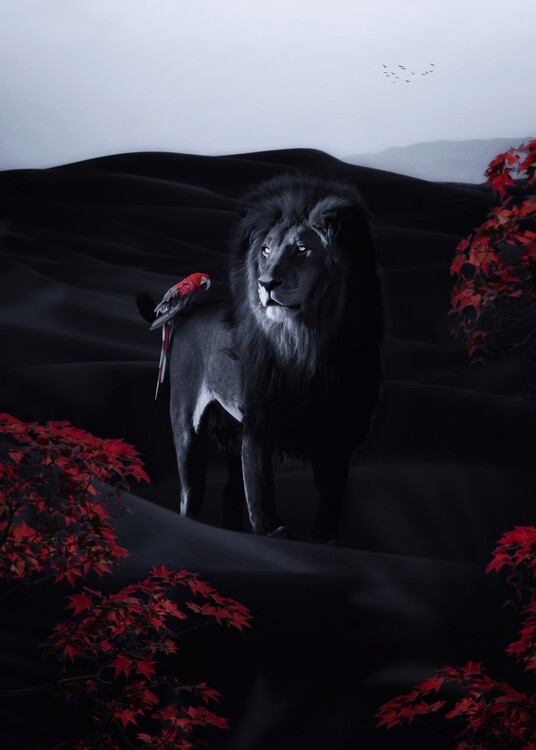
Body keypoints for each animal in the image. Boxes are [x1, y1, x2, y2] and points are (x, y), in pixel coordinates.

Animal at [140, 173, 384, 543]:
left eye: (302, 249)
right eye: (266, 249)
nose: (265, 282)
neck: (305, 342)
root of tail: (188, 312)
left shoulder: (336, 431)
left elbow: (331, 497)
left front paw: (325, 539)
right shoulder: (259, 422)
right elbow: (260, 491)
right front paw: (274, 534)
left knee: (229, 490)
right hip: (185, 420)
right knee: (190, 490)